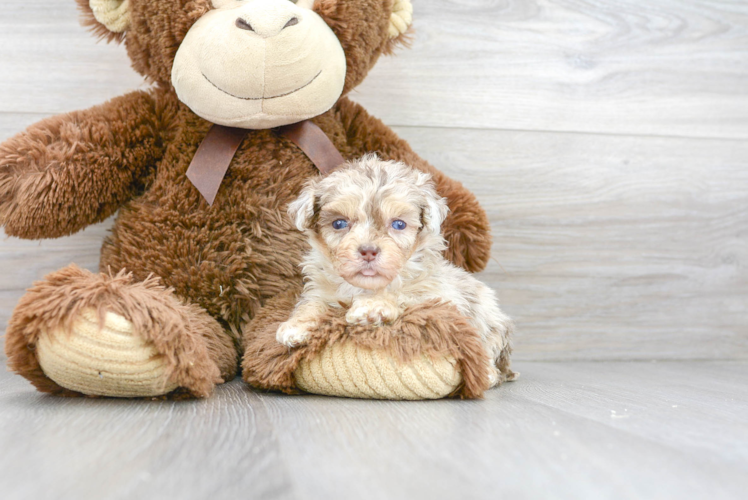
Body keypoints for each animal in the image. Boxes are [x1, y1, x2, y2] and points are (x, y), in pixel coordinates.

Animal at [276, 154, 516, 388]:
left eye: (399, 224)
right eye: (339, 223)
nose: (368, 251)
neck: (365, 287)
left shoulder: (439, 299)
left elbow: (402, 295)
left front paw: (372, 307)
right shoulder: (321, 290)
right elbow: (312, 304)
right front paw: (295, 326)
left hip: (491, 324)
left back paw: (489, 374)